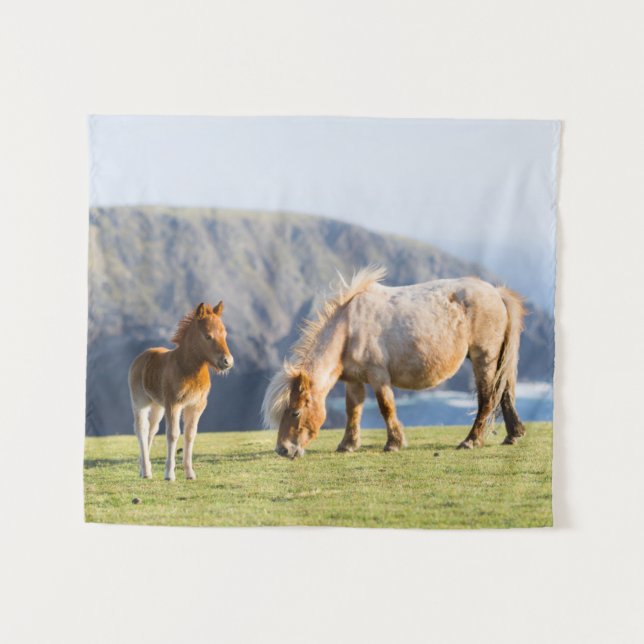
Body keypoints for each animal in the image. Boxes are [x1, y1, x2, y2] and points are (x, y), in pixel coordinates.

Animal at [128, 302, 233, 480]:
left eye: (224, 334)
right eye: (208, 336)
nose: (228, 361)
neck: (187, 368)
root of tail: (141, 357)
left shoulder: (196, 405)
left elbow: (190, 434)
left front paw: (190, 473)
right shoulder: (173, 404)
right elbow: (173, 434)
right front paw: (169, 474)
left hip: (158, 405)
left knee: (152, 429)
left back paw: (143, 468)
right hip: (140, 401)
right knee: (141, 429)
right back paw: (147, 471)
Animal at [262, 266, 526, 458]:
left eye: (295, 412)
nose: (283, 449)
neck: (349, 329)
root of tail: (496, 293)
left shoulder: (378, 376)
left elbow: (386, 407)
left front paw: (394, 443)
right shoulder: (353, 380)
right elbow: (353, 410)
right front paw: (348, 444)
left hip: (484, 358)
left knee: (488, 398)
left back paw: (471, 440)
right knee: (504, 392)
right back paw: (512, 434)